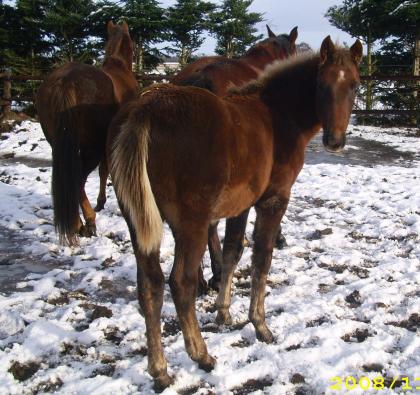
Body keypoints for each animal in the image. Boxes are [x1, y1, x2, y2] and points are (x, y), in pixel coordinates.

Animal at [36, 21, 137, 246]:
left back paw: (78, 223)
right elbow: (105, 171)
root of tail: (65, 81)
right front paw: (101, 202)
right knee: (78, 180)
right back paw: (87, 222)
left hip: (60, 146)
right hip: (92, 149)